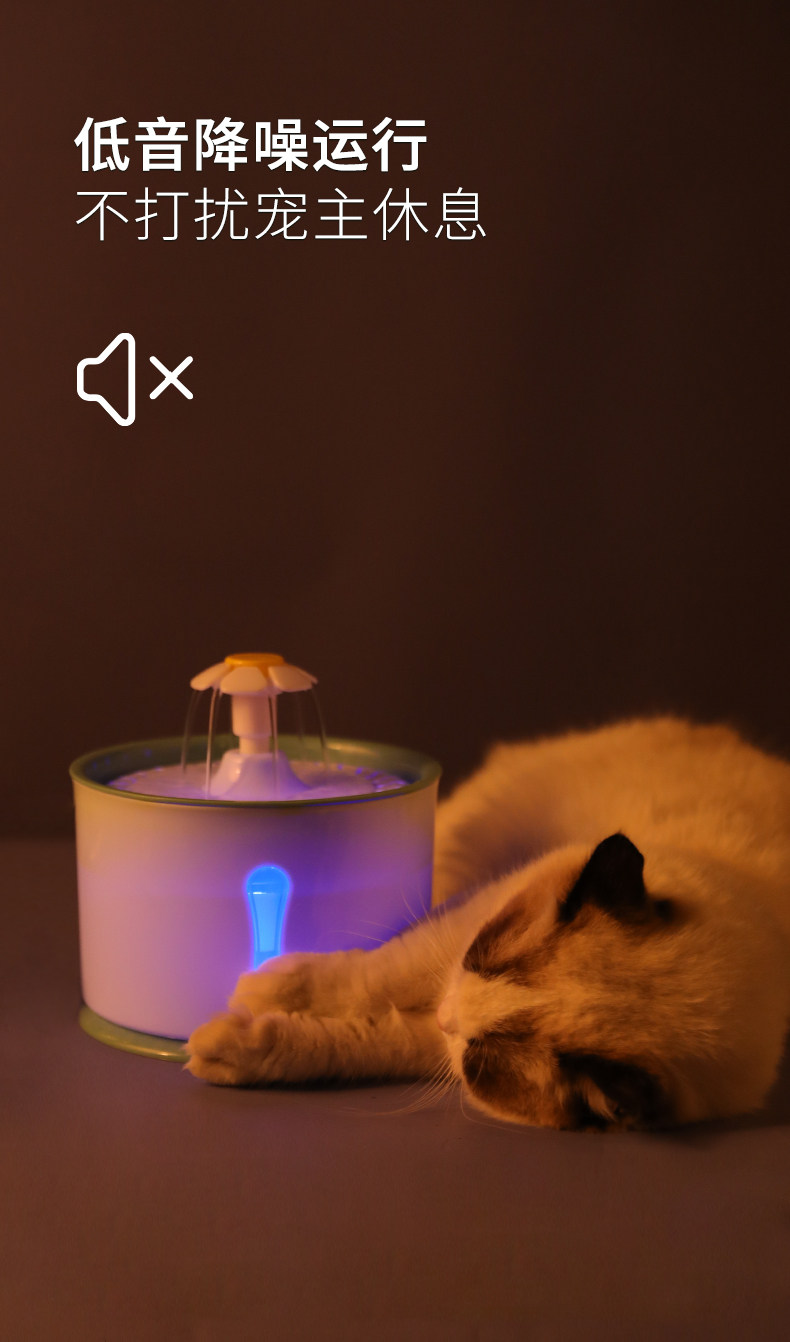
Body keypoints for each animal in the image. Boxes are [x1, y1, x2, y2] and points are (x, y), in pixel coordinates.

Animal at [186, 717, 790, 1130]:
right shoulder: (462, 931)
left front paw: (228, 1045)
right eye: (484, 962)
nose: (447, 1016)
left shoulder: (439, 1047)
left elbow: (355, 1040)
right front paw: (260, 990)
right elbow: (368, 979)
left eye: (480, 1051)